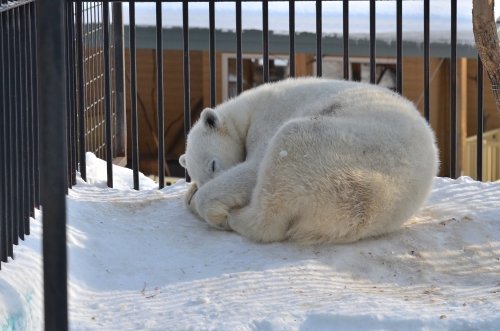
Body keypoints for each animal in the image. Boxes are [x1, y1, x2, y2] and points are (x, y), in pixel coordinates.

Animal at [180, 77, 438, 244]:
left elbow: (253, 169)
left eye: (213, 164)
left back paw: (237, 218)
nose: (200, 185)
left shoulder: (267, 119)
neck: (249, 107)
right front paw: (192, 193)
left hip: (336, 153)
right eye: (199, 177)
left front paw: (209, 208)